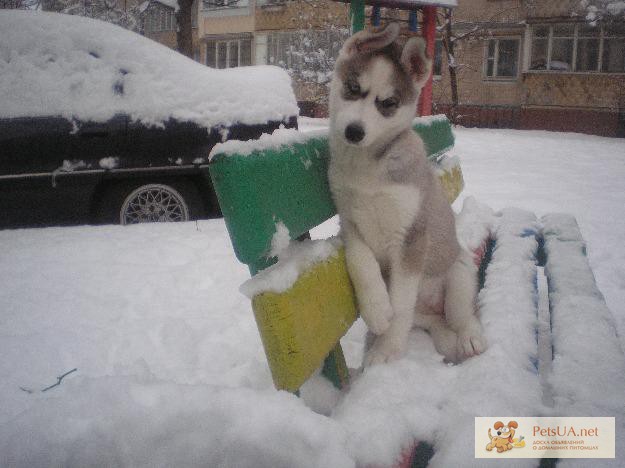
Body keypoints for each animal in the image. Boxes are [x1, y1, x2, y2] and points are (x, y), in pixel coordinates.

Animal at [330, 24, 486, 366]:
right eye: (352, 87)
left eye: (388, 103)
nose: (354, 132)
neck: (367, 165)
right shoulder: (350, 223)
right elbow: (361, 262)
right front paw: (376, 310)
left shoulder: (412, 237)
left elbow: (400, 304)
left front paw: (386, 348)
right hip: (428, 314)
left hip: (460, 274)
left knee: (462, 315)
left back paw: (470, 337)